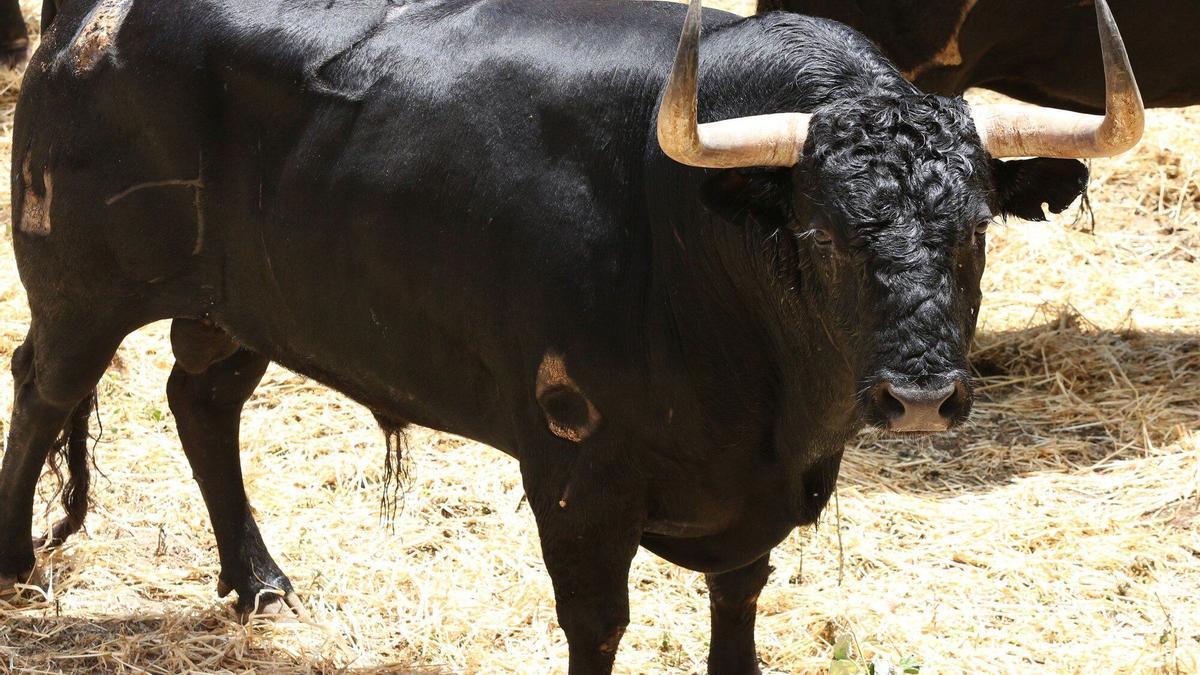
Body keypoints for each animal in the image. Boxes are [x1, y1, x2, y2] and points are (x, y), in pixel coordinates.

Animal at [0, 1, 1104, 672]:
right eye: (823, 231)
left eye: (977, 226)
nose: (917, 396)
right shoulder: (577, 468)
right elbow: (597, 618)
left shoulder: (756, 490)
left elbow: (739, 595)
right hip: (79, 286)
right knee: (42, 388)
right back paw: (15, 562)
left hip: (239, 303)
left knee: (201, 399)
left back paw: (260, 583)